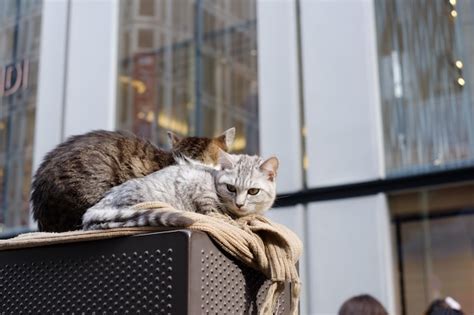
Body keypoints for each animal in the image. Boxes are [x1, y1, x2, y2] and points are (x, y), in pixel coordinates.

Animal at [83, 151, 280, 230]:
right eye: (231, 188)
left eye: (253, 191)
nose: (239, 204)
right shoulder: (196, 183)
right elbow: (212, 211)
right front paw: (229, 219)